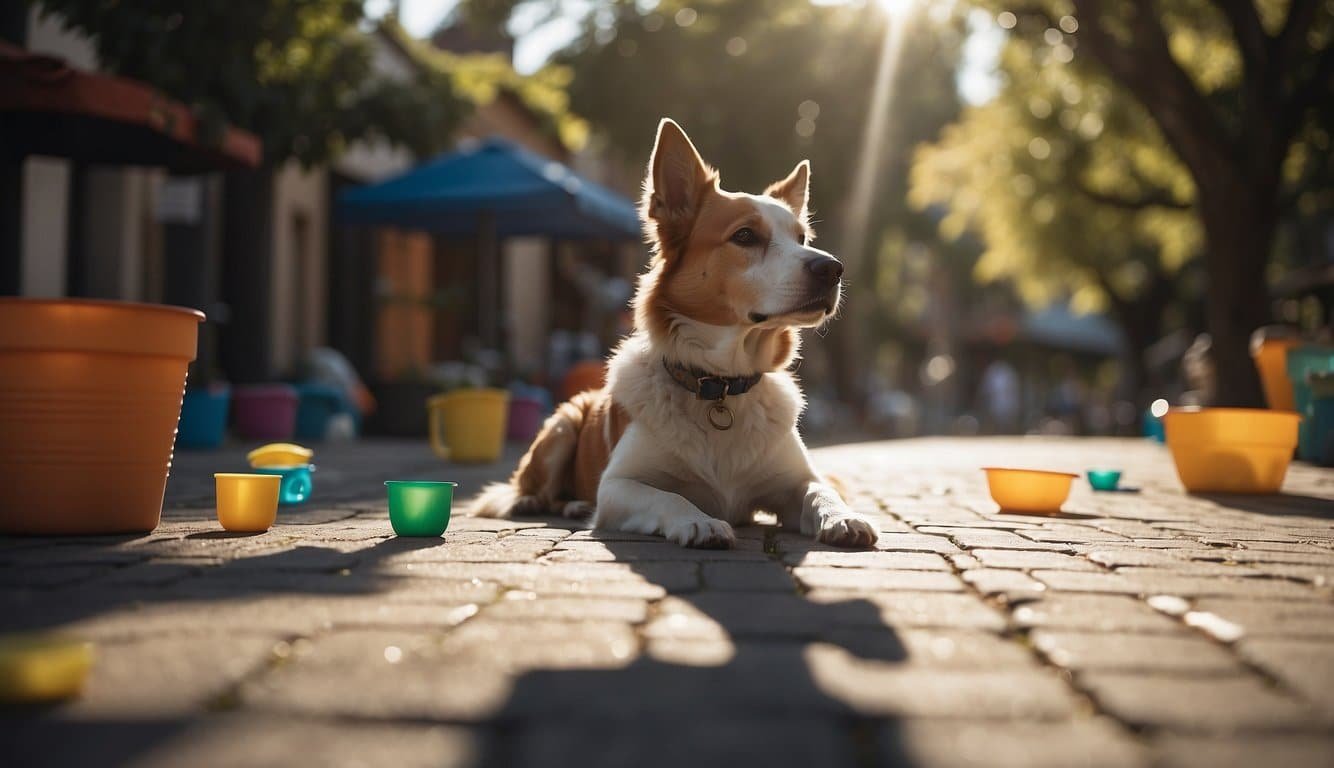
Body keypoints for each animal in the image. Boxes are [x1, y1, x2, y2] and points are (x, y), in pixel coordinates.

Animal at [464, 118, 880, 552]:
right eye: (745, 236)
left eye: (802, 239)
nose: (833, 269)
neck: (720, 385)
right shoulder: (618, 485)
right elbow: (668, 497)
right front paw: (701, 522)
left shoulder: (796, 481)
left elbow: (822, 490)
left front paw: (844, 516)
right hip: (562, 425)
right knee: (530, 489)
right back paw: (547, 501)